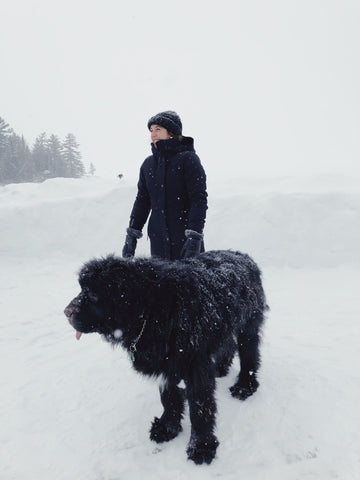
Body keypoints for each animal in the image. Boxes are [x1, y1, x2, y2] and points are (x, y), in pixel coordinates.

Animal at [64, 251, 268, 464]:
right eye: (82, 288)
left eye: (93, 293)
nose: (66, 312)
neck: (152, 310)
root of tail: (244, 256)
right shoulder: (166, 361)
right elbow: (168, 396)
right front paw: (166, 427)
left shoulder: (195, 365)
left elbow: (199, 406)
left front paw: (201, 447)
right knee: (227, 344)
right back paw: (221, 367)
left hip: (248, 326)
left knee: (249, 356)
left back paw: (244, 386)